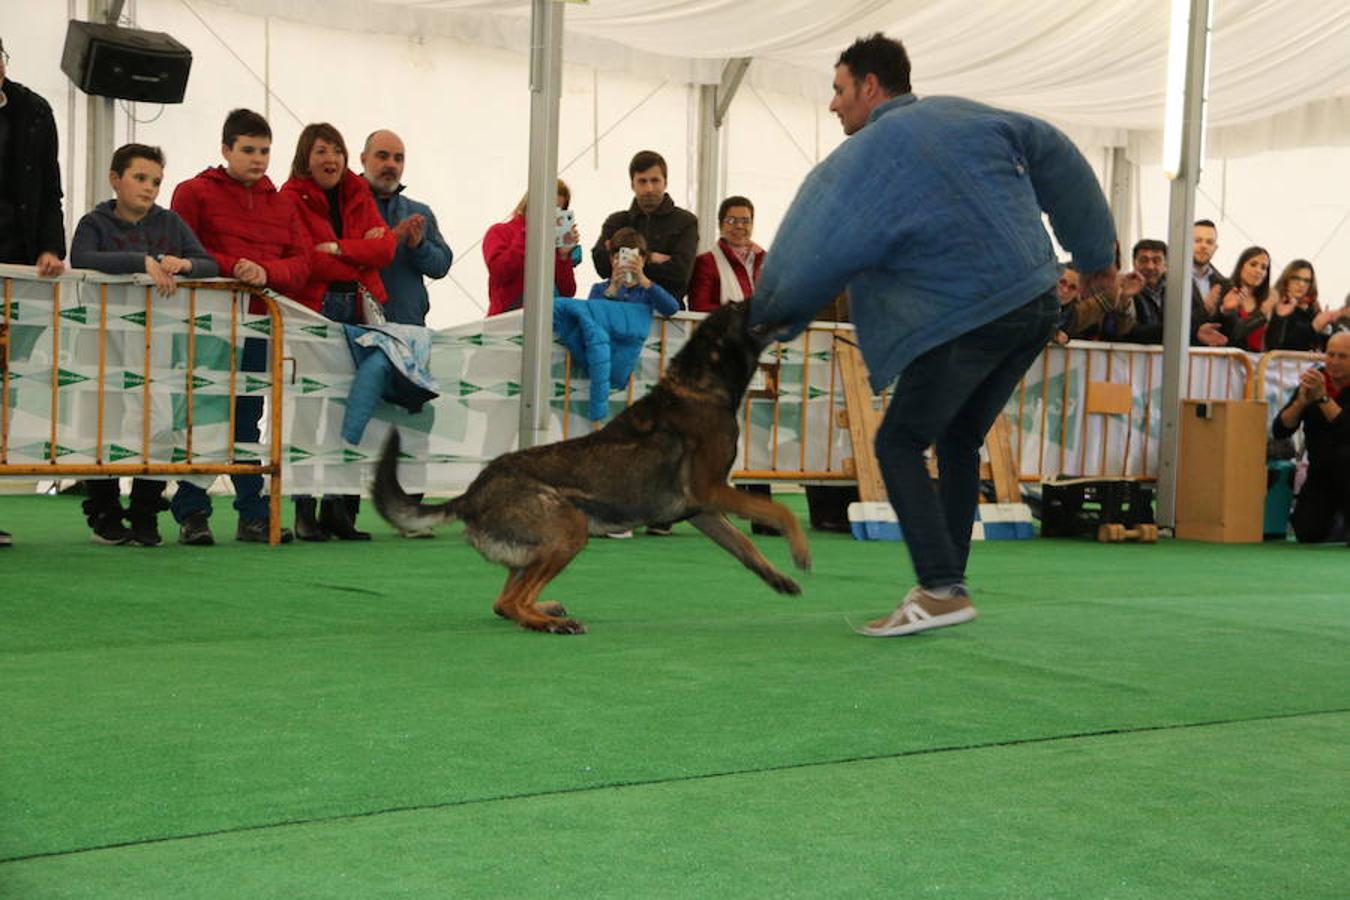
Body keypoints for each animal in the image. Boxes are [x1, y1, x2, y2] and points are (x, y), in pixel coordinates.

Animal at [372, 302, 810, 634]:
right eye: (746, 307)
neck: (702, 383)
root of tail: (472, 493)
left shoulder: (704, 510)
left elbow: (745, 546)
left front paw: (777, 577)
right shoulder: (712, 491)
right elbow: (780, 509)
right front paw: (801, 552)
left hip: (540, 547)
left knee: (503, 601)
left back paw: (545, 610)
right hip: (571, 528)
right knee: (513, 604)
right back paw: (549, 622)